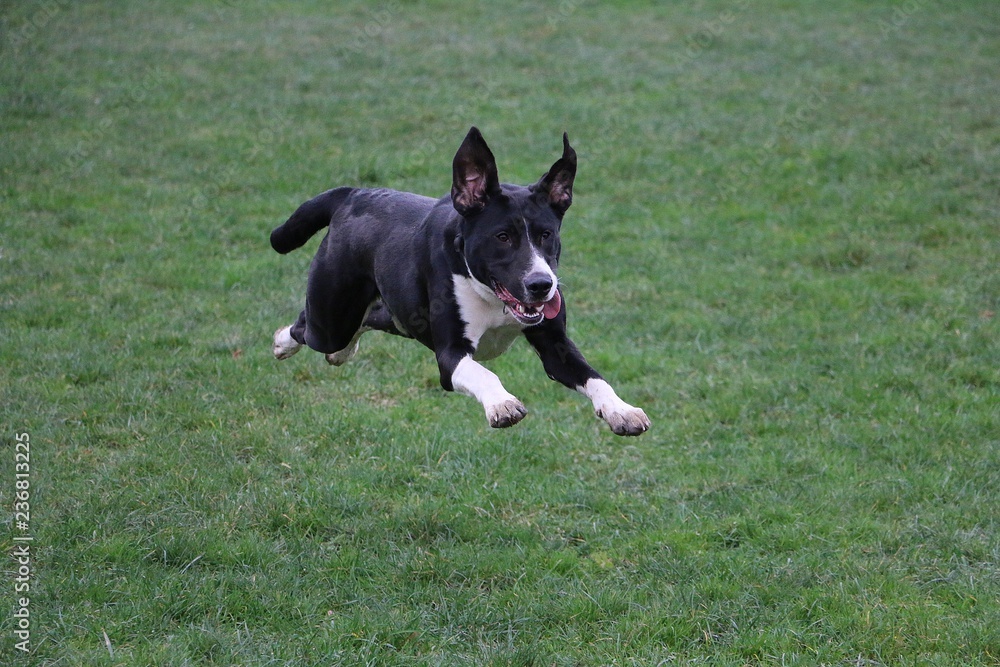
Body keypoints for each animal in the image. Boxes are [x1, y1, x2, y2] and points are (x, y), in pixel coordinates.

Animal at [270, 127, 652, 438]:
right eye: (502, 237)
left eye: (547, 234)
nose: (541, 284)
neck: (494, 300)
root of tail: (353, 194)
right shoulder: (450, 354)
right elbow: (483, 374)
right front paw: (502, 404)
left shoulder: (554, 344)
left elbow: (593, 376)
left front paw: (622, 410)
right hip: (331, 313)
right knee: (310, 329)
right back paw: (283, 342)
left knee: (372, 319)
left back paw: (342, 352)